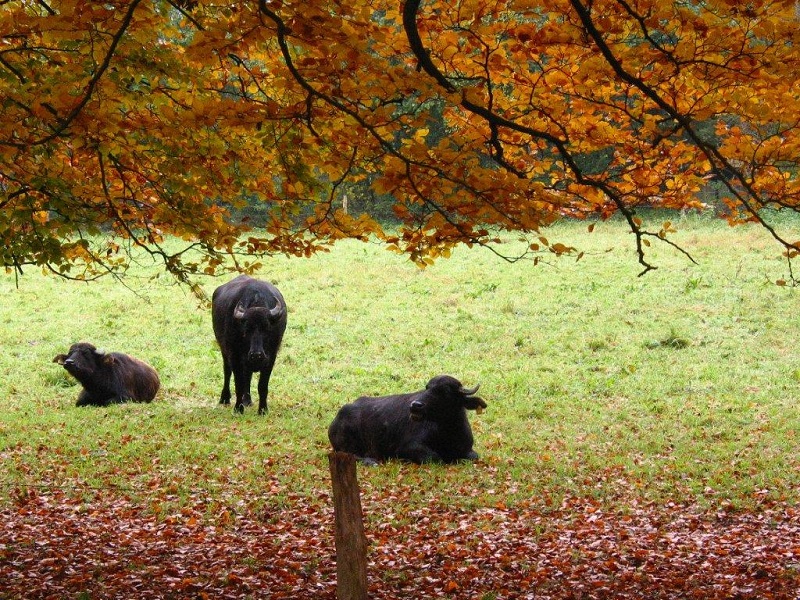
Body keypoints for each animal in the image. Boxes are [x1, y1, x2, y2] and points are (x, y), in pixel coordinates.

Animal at [212, 275, 287, 415]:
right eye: (246, 330)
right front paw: (238, 408)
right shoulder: (234, 356)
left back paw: (247, 400)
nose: (256, 354)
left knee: (248, 374)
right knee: (227, 371)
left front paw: (263, 410)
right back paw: (225, 398)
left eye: (266, 328)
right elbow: (238, 384)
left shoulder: (270, 358)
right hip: (224, 350)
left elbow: (262, 386)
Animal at [328, 374, 487, 465]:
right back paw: (371, 461)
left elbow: (474, 456)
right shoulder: (408, 447)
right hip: (347, 445)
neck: (447, 434)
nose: (415, 406)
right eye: (427, 388)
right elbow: (436, 458)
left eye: (445, 391)